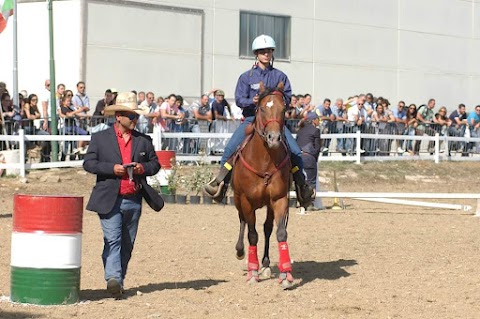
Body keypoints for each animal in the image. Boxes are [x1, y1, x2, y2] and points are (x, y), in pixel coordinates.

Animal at [232, 80, 294, 290]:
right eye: (261, 109)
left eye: (284, 109)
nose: (273, 138)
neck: (265, 161)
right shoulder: (246, 201)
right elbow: (252, 234)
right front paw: (252, 272)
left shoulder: (279, 199)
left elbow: (280, 233)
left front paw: (286, 274)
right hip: (238, 201)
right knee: (243, 221)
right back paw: (241, 252)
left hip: (268, 205)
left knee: (267, 228)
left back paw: (266, 265)